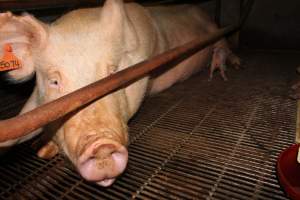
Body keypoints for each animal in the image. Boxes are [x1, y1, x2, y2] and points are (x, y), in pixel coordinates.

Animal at [0, 0, 239, 186]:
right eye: (54, 81)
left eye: (114, 72)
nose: (101, 145)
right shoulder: (36, 106)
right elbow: (19, 124)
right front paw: (41, 150)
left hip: (215, 28)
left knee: (223, 44)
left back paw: (226, 68)